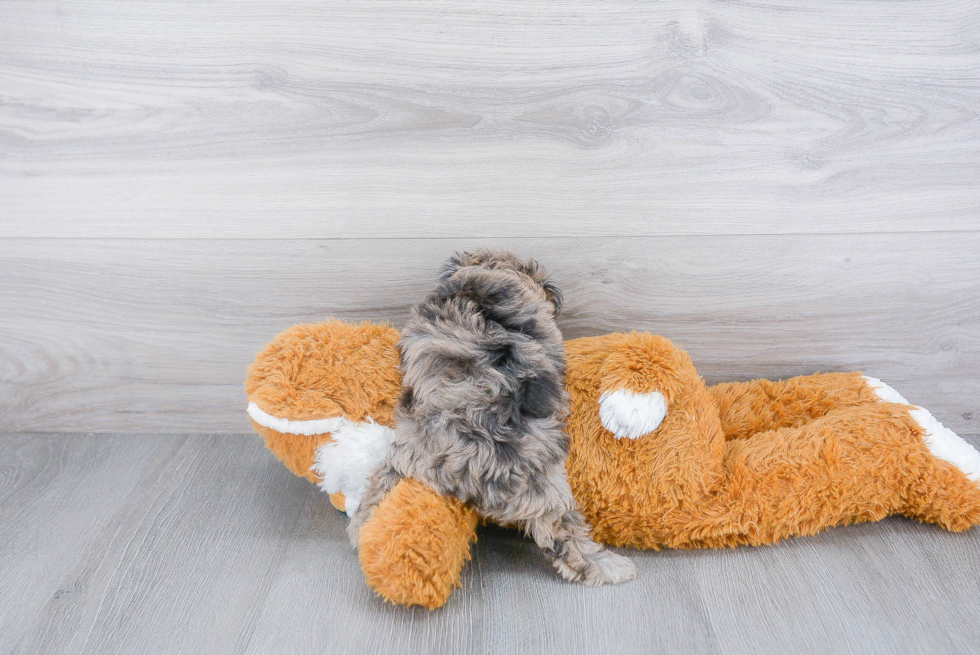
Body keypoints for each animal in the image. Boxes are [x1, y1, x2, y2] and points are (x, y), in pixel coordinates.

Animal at [350, 249, 636, 588]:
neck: (484, 274)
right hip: (546, 485)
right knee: (564, 538)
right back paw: (607, 565)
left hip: (407, 449)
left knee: (382, 479)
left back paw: (361, 523)